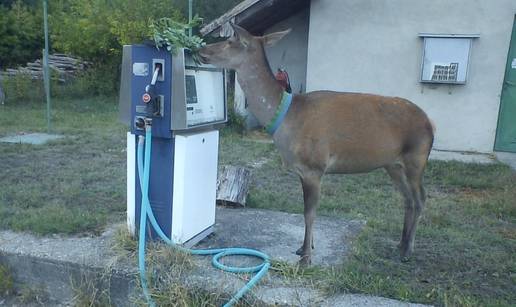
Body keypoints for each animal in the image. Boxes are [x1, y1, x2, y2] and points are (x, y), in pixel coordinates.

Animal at [200, 24, 434, 264]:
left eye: (231, 41)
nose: (202, 49)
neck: (287, 120)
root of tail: (430, 123)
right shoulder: (302, 170)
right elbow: (307, 211)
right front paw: (302, 248)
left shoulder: (314, 166)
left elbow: (309, 213)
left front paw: (305, 257)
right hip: (393, 164)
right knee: (407, 198)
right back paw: (400, 244)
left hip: (416, 157)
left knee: (421, 198)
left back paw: (408, 250)